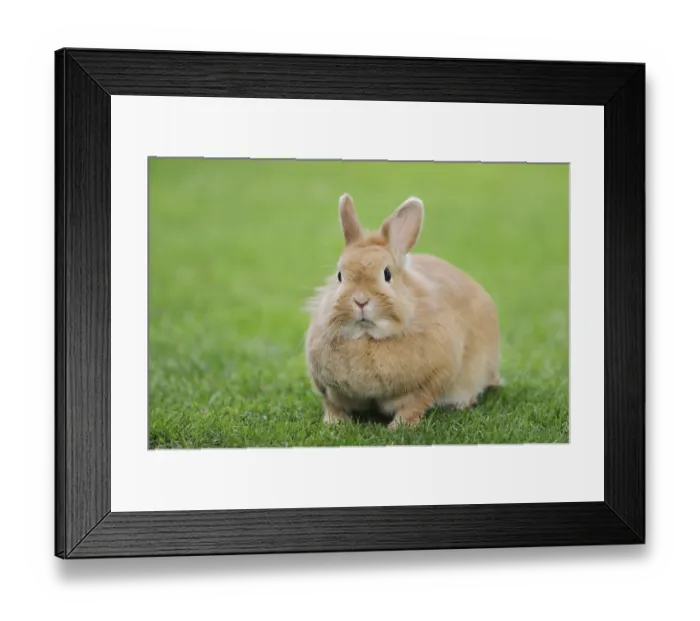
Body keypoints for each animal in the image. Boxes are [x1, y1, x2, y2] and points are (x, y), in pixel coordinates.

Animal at [304, 193, 501, 429]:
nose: (360, 300)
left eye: (387, 274)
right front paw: (334, 423)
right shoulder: (328, 389)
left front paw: (398, 428)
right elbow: (333, 406)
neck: (367, 337)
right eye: (340, 275)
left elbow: (413, 406)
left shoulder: (430, 382)